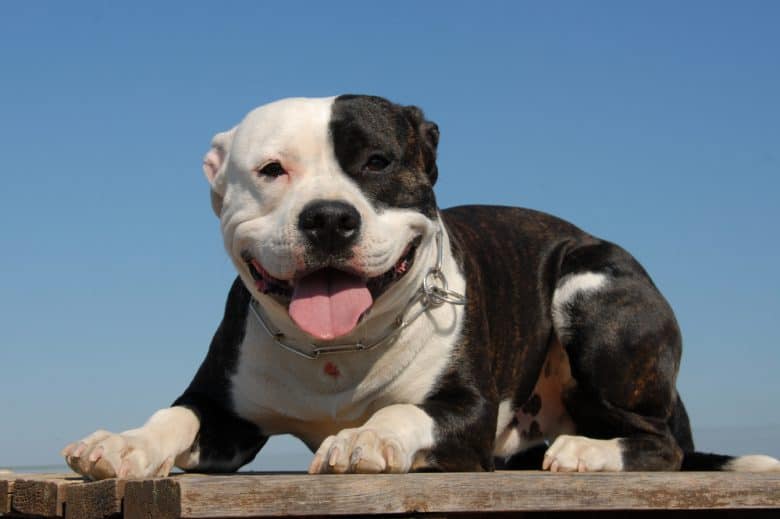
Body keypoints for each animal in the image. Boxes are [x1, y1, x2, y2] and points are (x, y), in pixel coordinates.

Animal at [62, 94, 780, 480]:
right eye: (270, 170)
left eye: (378, 162)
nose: (329, 217)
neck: (334, 352)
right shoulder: (223, 412)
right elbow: (174, 415)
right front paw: (123, 442)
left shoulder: (465, 408)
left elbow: (405, 411)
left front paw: (363, 436)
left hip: (590, 287)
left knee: (661, 442)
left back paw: (587, 451)